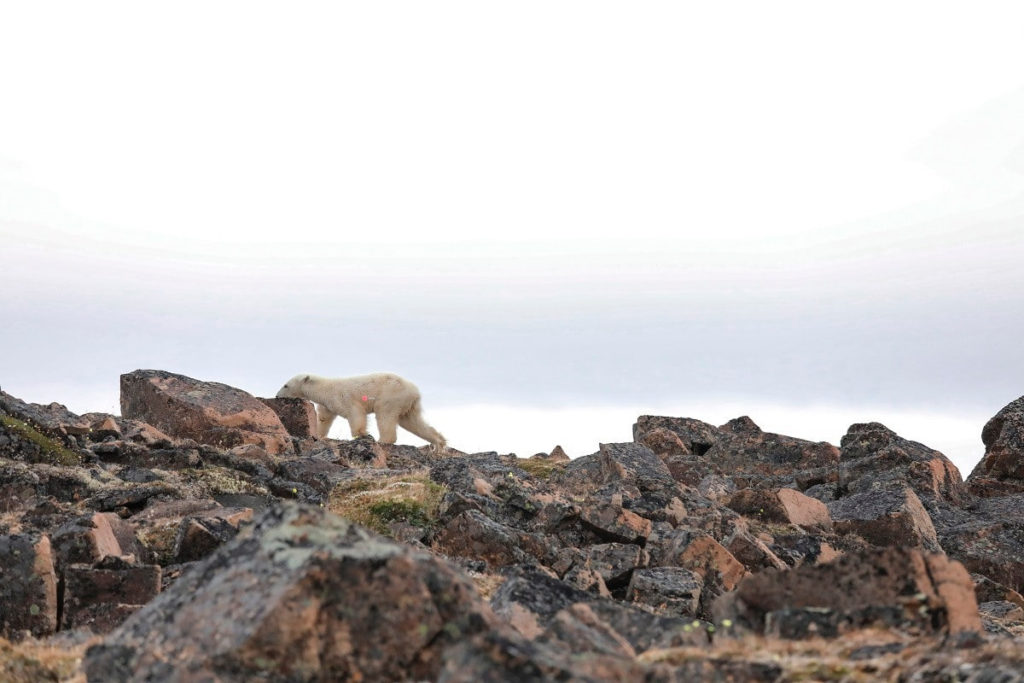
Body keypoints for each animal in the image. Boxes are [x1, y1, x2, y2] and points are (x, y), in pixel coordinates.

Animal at [274, 370, 446, 450]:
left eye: (286, 385)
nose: (276, 395)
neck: (325, 389)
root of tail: (414, 391)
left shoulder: (343, 397)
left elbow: (355, 413)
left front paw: (362, 434)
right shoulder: (328, 404)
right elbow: (324, 418)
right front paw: (319, 434)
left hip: (390, 396)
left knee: (384, 415)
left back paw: (383, 440)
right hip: (408, 405)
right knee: (413, 422)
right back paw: (439, 443)